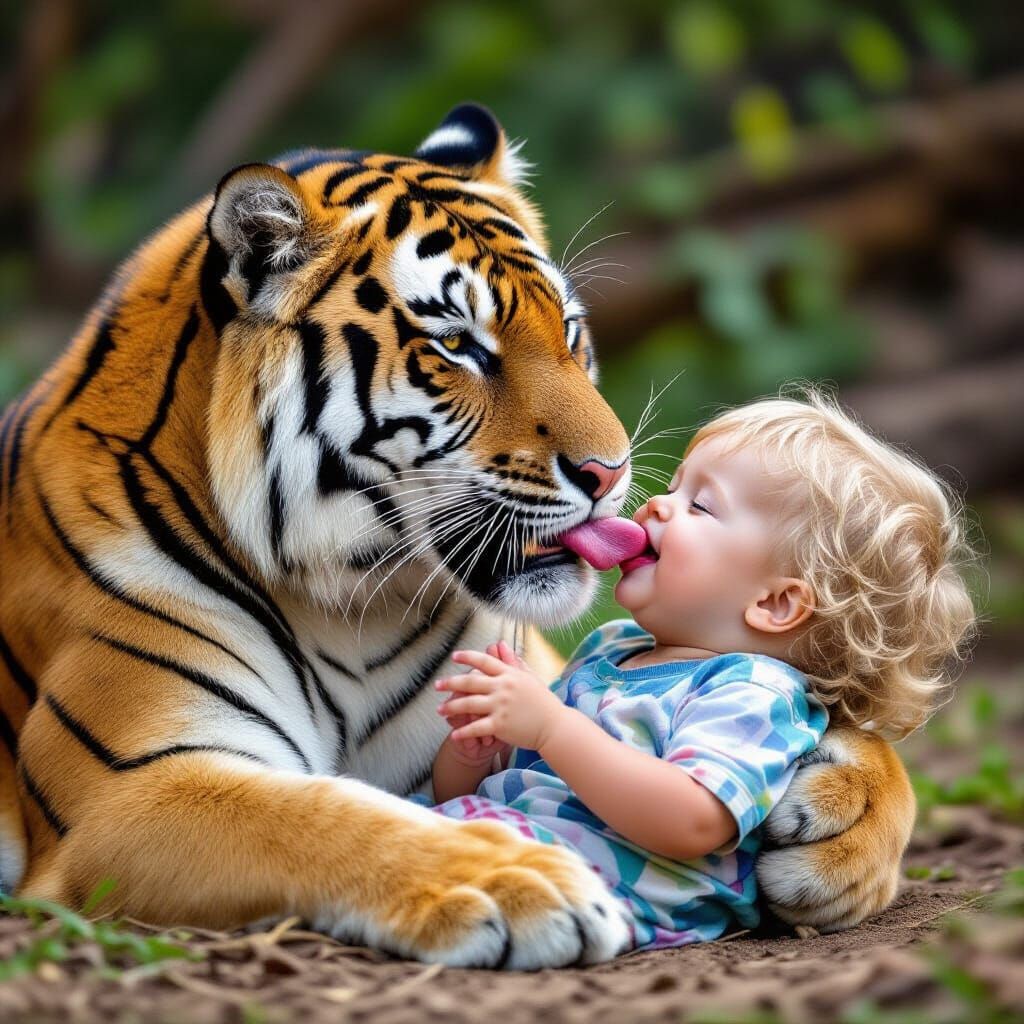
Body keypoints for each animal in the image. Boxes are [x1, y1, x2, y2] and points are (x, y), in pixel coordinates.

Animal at [0, 103, 914, 968]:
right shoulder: (130, 789)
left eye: (569, 331)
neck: (353, 606)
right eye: (456, 345)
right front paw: (518, 881)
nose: (610, 471)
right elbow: (316, 815)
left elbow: (878, 749)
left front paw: (844, 820)